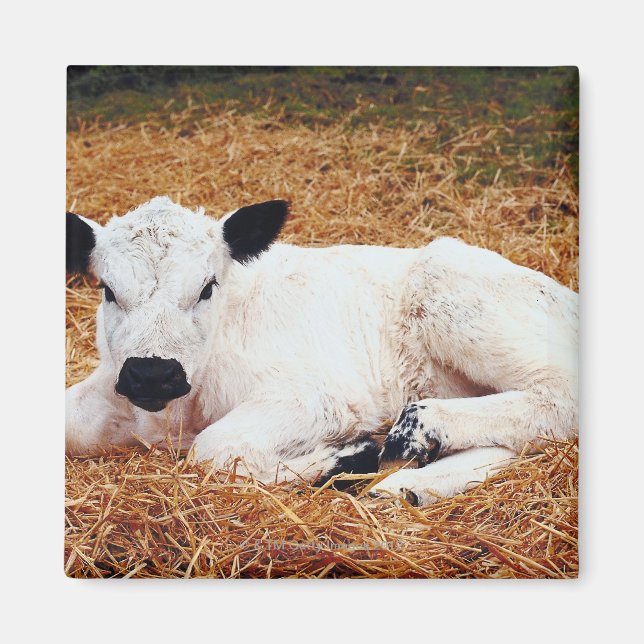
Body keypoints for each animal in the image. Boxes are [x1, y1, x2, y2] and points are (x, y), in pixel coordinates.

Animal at [66, 196, 578, 506]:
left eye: (207, 287)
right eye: (108, 290)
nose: (152, 374)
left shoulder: (320, 398)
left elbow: (215, 449)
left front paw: (347, 458)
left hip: (449, 291)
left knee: (559, 399)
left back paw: (415, 433)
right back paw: (409, 485)